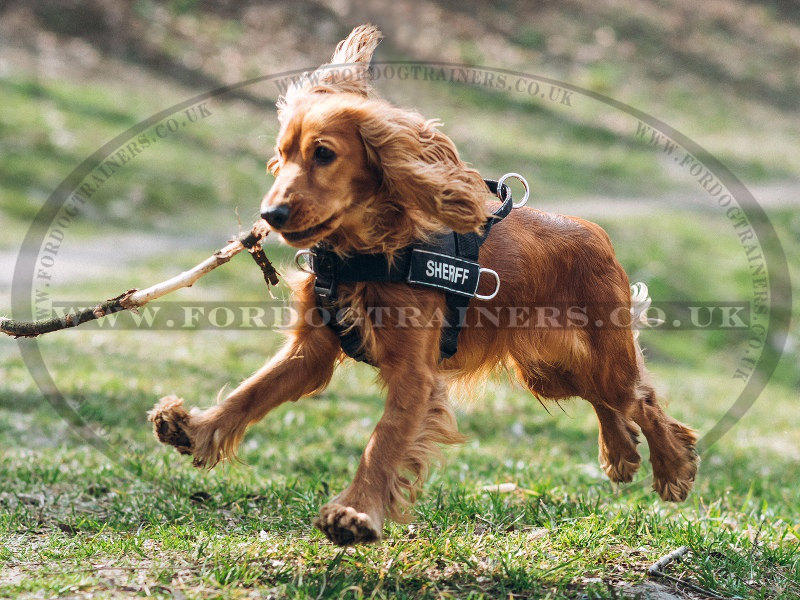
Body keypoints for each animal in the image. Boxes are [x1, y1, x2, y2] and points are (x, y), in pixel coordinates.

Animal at [148, 25, 692, 548]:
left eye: (324, 154)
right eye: (280, 156)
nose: (271, 214)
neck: (364, 254)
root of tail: (597, 234)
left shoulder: (414, 373)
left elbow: (384, 440)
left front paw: (354, 513)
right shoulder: (311, 352)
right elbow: (251, 391)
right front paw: (195, 429)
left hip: (597, 356)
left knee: (638, 398)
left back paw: (673, 468)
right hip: (547, 368)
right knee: (607, 400)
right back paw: (620, 453)